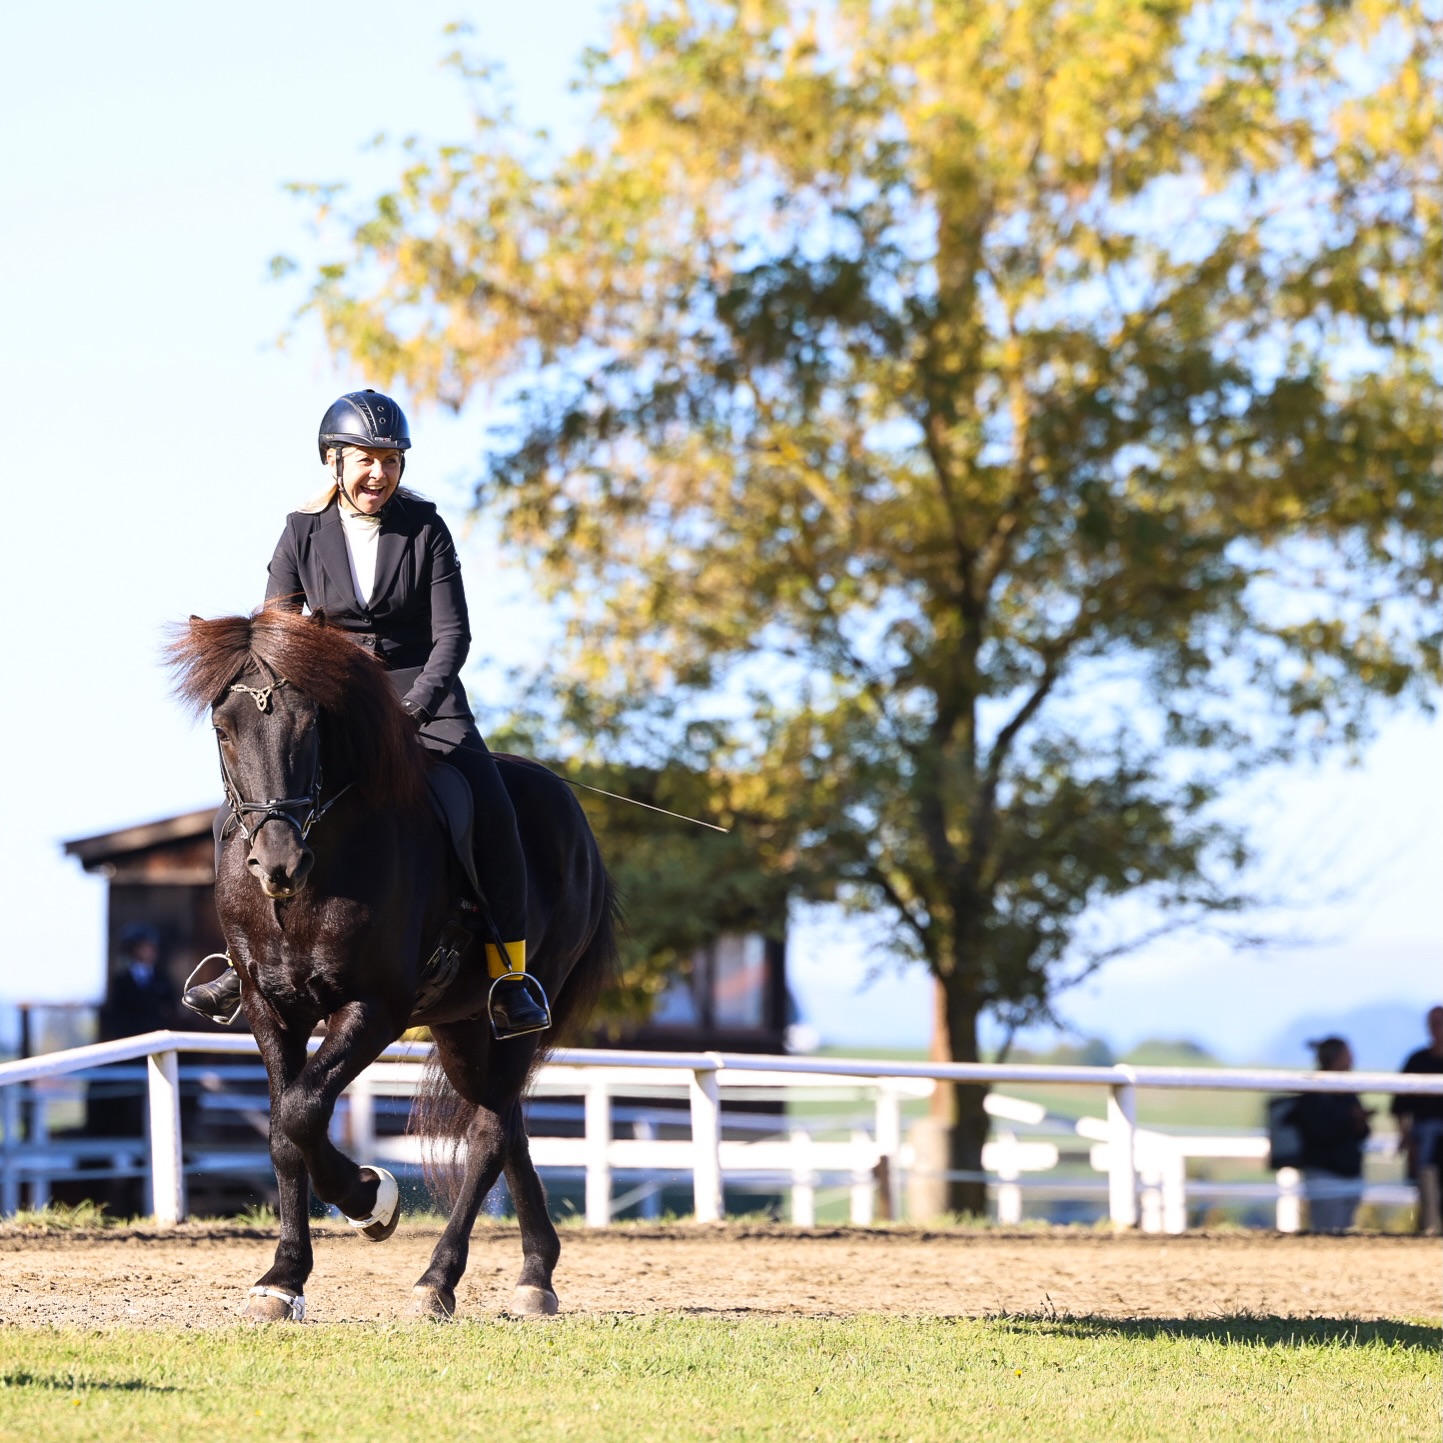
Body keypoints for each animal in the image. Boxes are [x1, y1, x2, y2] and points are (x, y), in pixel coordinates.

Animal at [168, 606, 617, 1321]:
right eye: (223, 729)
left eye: (312, 726)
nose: (277, 865)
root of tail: (574, 817)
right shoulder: (271, 1008)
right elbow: (283, 1130)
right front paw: (282, 1279)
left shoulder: (376, 1007)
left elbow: (300, 1112)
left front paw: (368, 1198)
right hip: (463, 1022)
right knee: (506, 1121)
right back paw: (535, 1276)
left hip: (518, 1012)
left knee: (489, 1133)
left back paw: (438, 1281)